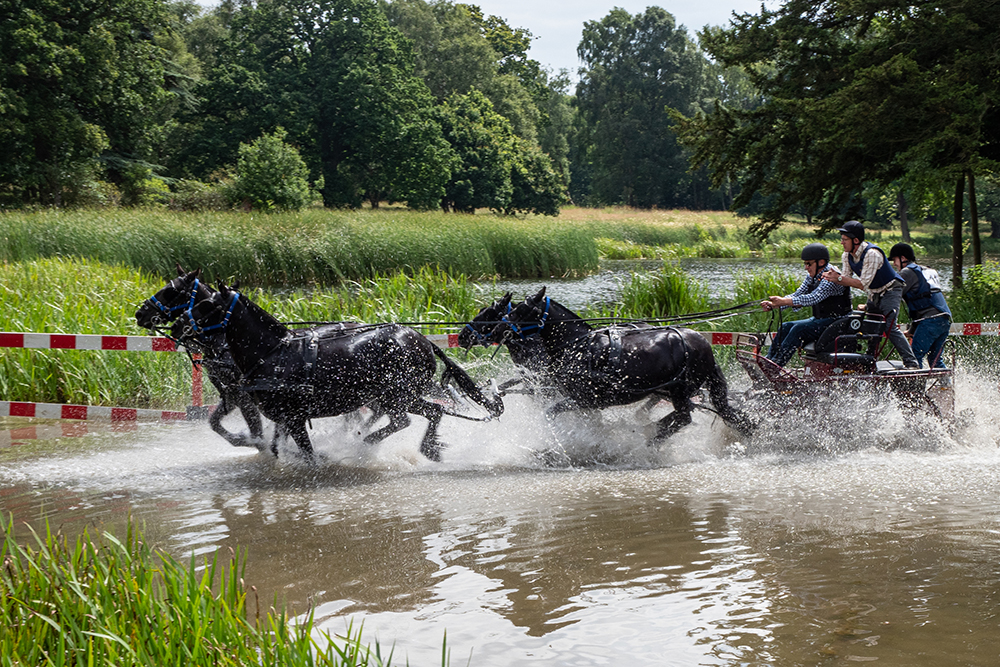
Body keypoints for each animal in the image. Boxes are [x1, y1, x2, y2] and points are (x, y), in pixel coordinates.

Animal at [181, 281, 504, 461]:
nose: (183, 328)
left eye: (207, 303)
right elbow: (275, 447)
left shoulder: (295, 418)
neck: (273, 352)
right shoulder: (284, 417)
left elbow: (307, 454)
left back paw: (374, 445)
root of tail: (422, 340)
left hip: (398, 395)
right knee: (424, 414)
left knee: (416, 417)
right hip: (398, 396)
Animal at [487, 287, 754, 442]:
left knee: (683, 417)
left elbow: (550, 413)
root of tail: (704, 345)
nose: (497, 328)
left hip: (679, 390)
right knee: (684, 416)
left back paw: (651, 437)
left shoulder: (584, 399)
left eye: (521, 310)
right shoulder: (583, 403)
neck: (579, 346)